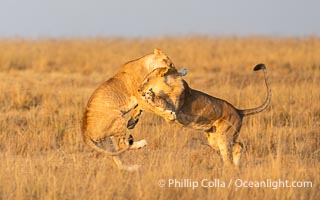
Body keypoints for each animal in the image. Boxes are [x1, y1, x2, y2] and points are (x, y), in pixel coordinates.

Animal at [136, 63, 272, 166]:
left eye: (147, 80)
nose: (138, 89)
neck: (166, 86)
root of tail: (239, 111)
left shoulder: (174, 108)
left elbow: (162, 102)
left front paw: (150, 95)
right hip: (215, 139)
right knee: (238, 145)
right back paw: (235, 167)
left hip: (224, 136)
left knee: (233, 149)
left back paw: (229, 168)